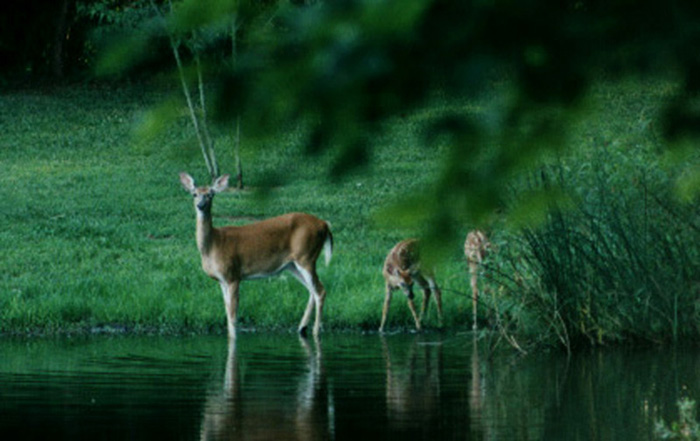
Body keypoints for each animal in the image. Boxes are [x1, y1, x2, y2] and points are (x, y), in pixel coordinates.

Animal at [179, 172, 333, 338]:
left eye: (210, 194)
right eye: (194, 194)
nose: (200, 205)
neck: (213, 244)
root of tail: (325, 224)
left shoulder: (233, 275)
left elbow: (233, 317)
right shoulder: (221, 280)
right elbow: (227, 313)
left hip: (306, 256)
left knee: (320, 291)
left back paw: (316, 332)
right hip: (293, 265)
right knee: (312, 290)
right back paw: (301, 328)